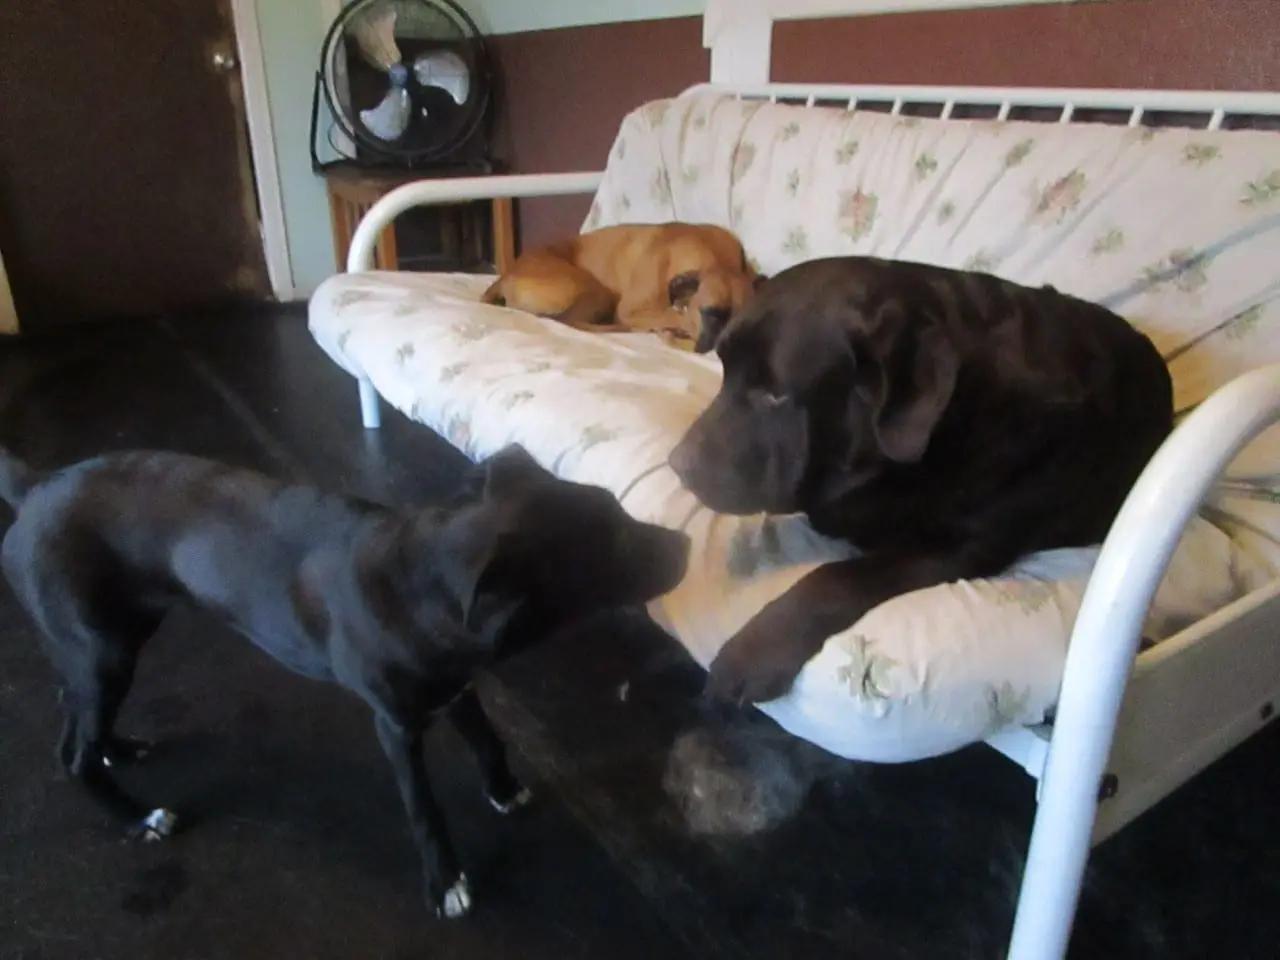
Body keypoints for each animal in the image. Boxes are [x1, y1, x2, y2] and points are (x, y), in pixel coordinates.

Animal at [0, 442, 691, 916]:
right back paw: (138, 817)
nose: (686, 545)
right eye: (610, 548)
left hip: (108, 645)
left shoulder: (457, 685)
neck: (421, 583)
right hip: (104, 652)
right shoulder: (396, 728)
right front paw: (446, 883)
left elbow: (488, 738)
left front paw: (503, 789)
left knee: (76, 723)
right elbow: (423, 807)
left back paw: (118, 749)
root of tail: (36, 487)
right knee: (71, 754)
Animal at [675, 256, 1172, 706]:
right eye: (724, 368)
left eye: (774, 394)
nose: (677, 463)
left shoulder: (959, 548)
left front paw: (755, 651)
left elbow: (837, 577)